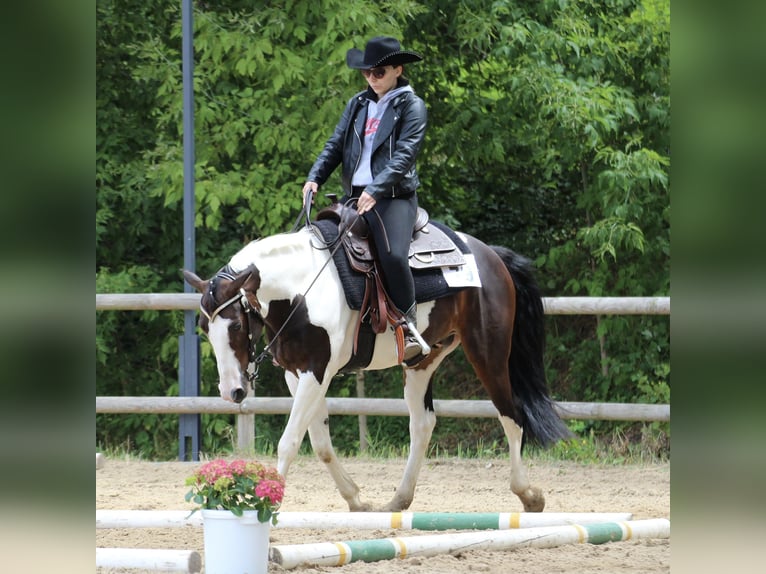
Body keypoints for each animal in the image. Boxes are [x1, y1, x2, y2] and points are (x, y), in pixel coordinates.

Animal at [183, 219, 572, 512]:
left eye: (235, 325)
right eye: (203, 328)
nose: (231, 391)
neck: (301, 290)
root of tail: (490, 255)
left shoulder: (317, 372)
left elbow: (290, 440)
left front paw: (271, 501)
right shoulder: (298, 375)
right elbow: (320, 442)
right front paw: (356, 499)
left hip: (488, 354)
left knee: (511, 416)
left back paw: (528, 495)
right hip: (423, 361)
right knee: (423, 423)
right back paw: (399, 499)